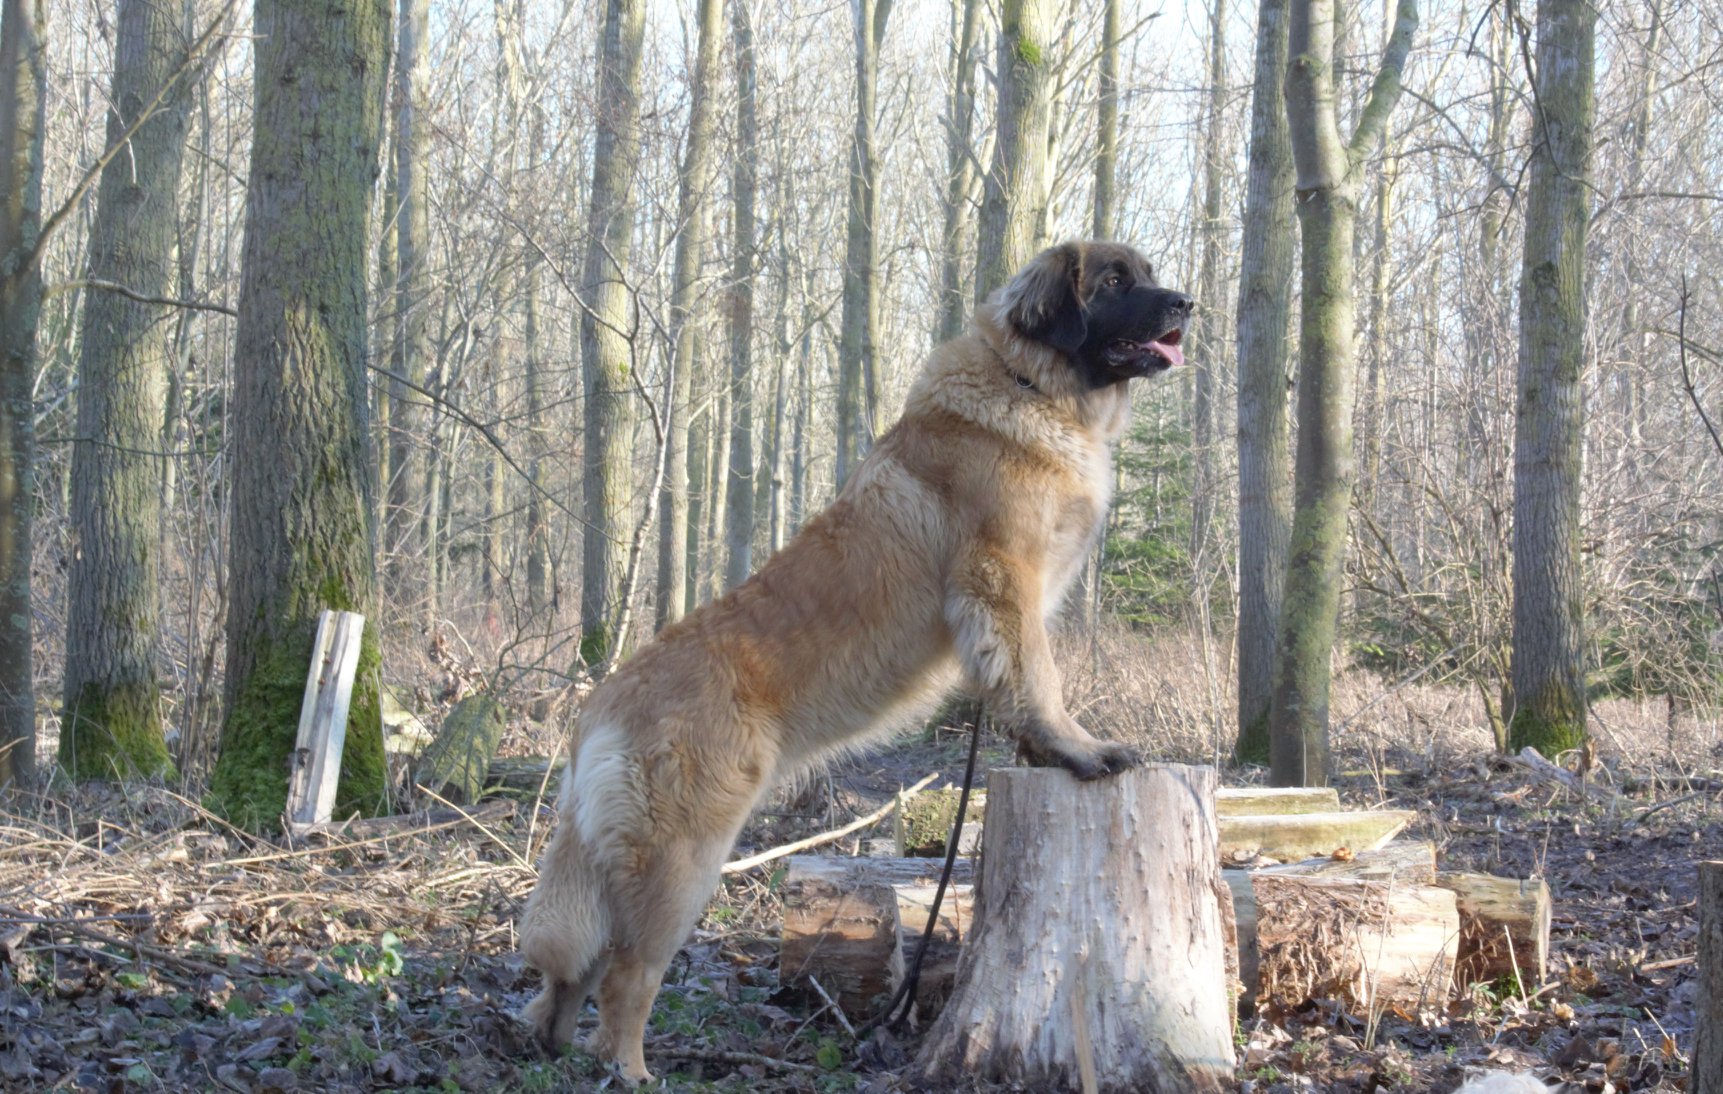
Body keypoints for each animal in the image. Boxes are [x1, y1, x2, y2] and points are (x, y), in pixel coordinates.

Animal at [519, 240, 1192, 1082]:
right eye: (1113, 282)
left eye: (1149, 274)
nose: (1186, 304)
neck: (1028, 385)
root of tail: (600, 705)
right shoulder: (1002, 580)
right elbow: (1036, 677)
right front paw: (1080, 750)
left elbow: (1016, 686)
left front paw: (1044, 752)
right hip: (684, 858)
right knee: (625, 976)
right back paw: (632, 1070)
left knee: (571, 968)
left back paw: (553, 1046)